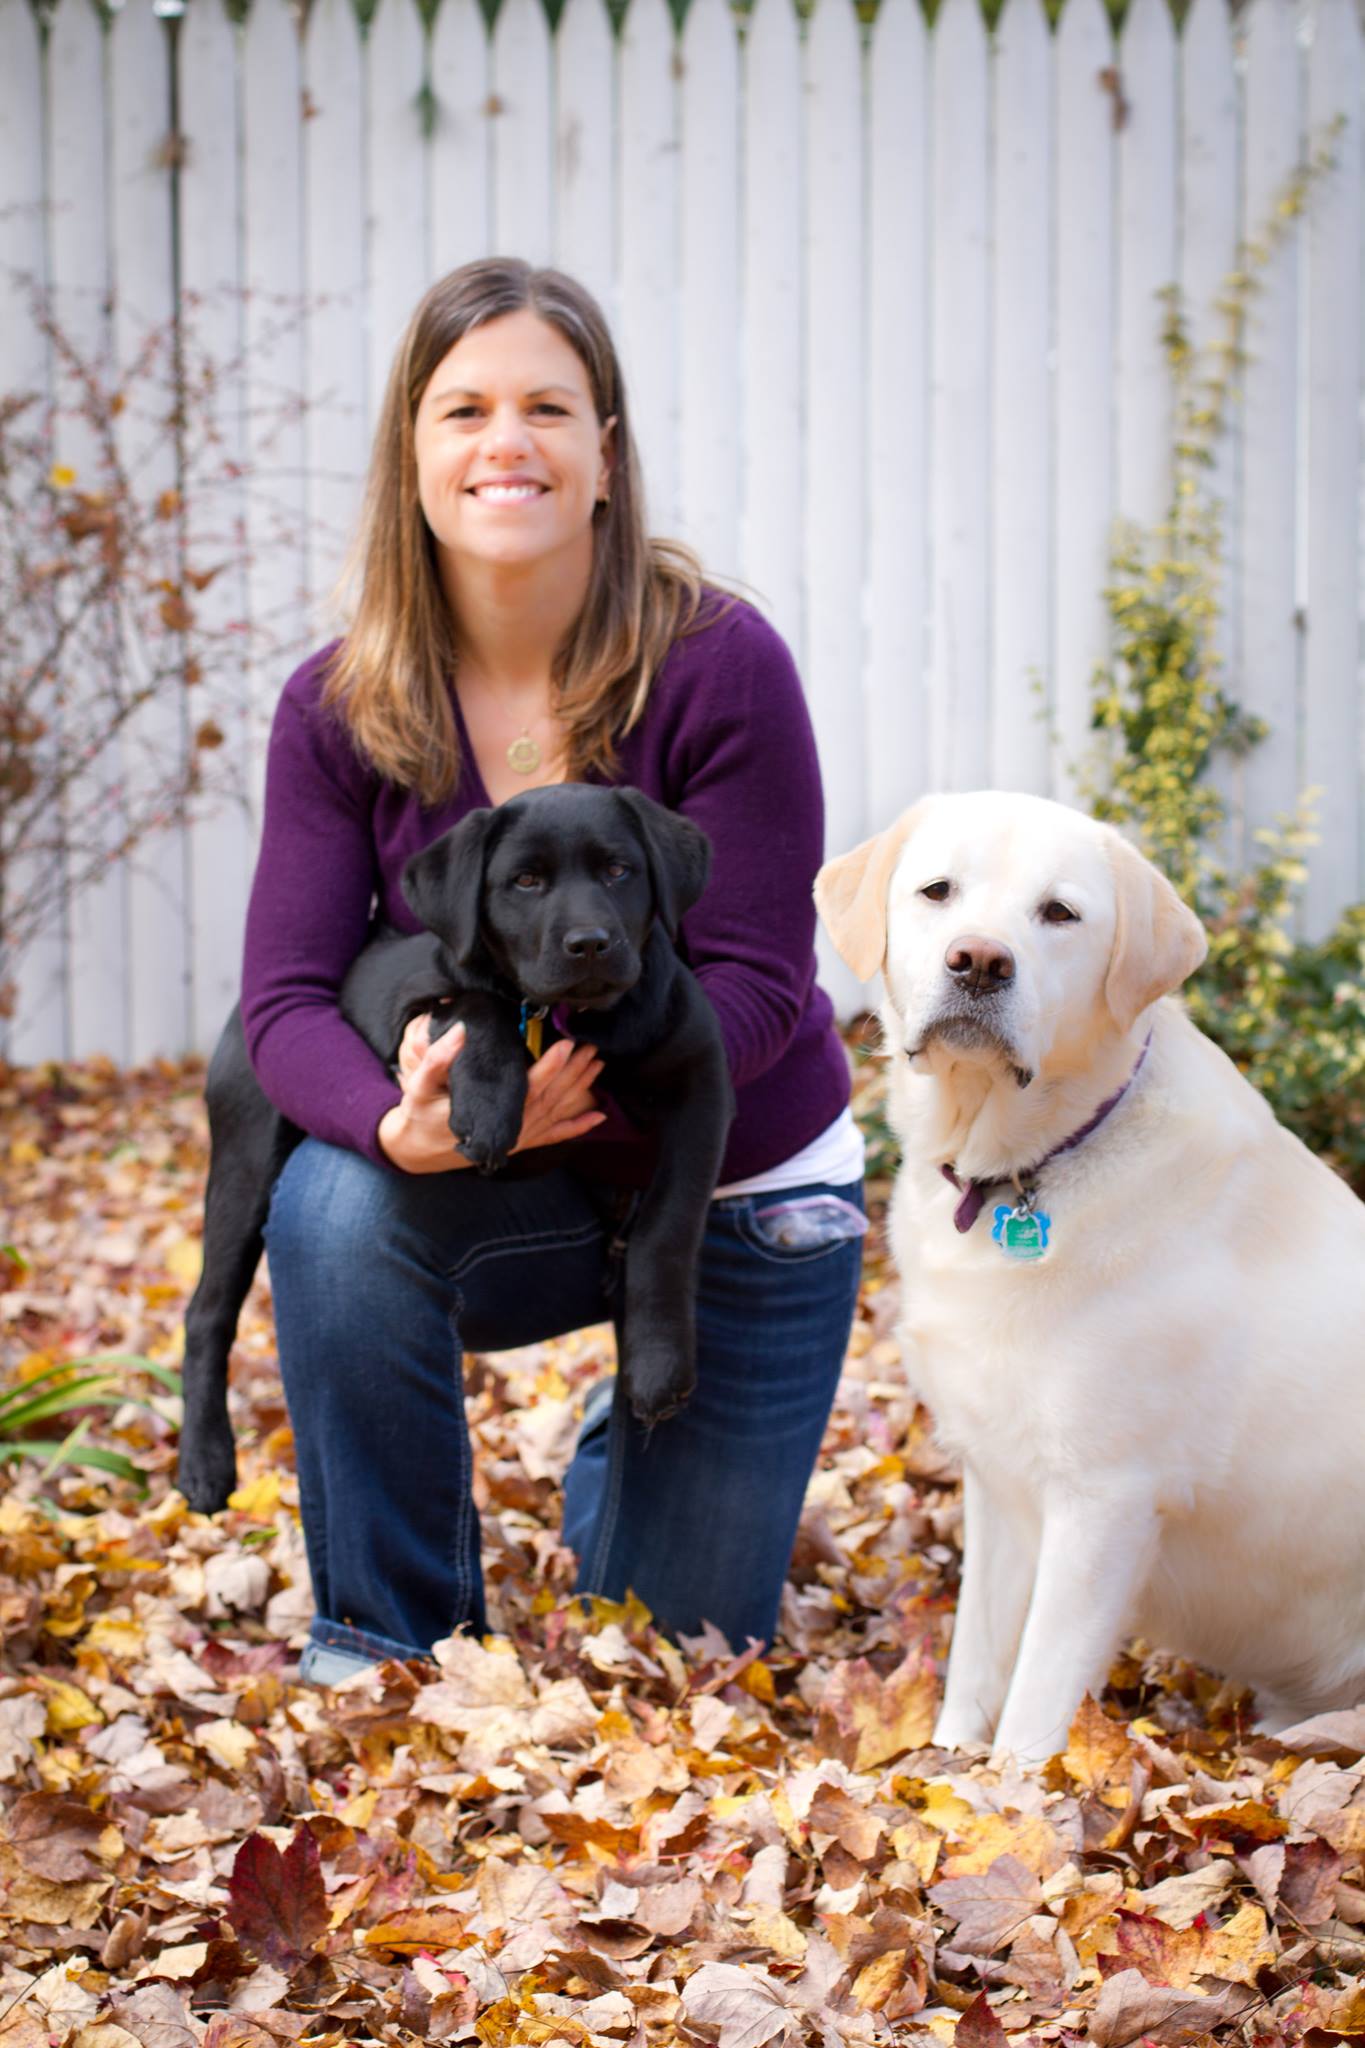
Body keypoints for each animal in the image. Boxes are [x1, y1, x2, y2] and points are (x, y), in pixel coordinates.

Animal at [181, 790, 740, 1515]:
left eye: (620, 871)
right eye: (525, 881)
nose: (590, 944)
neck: (571, 1019)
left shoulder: (702, 1085)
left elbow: (667, 1233)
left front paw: (657, 1364)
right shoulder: (413, 1011)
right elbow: (480, 1003)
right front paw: (490, 1103)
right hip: (247, 1159)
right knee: (207, 1312)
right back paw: (204, 1462)